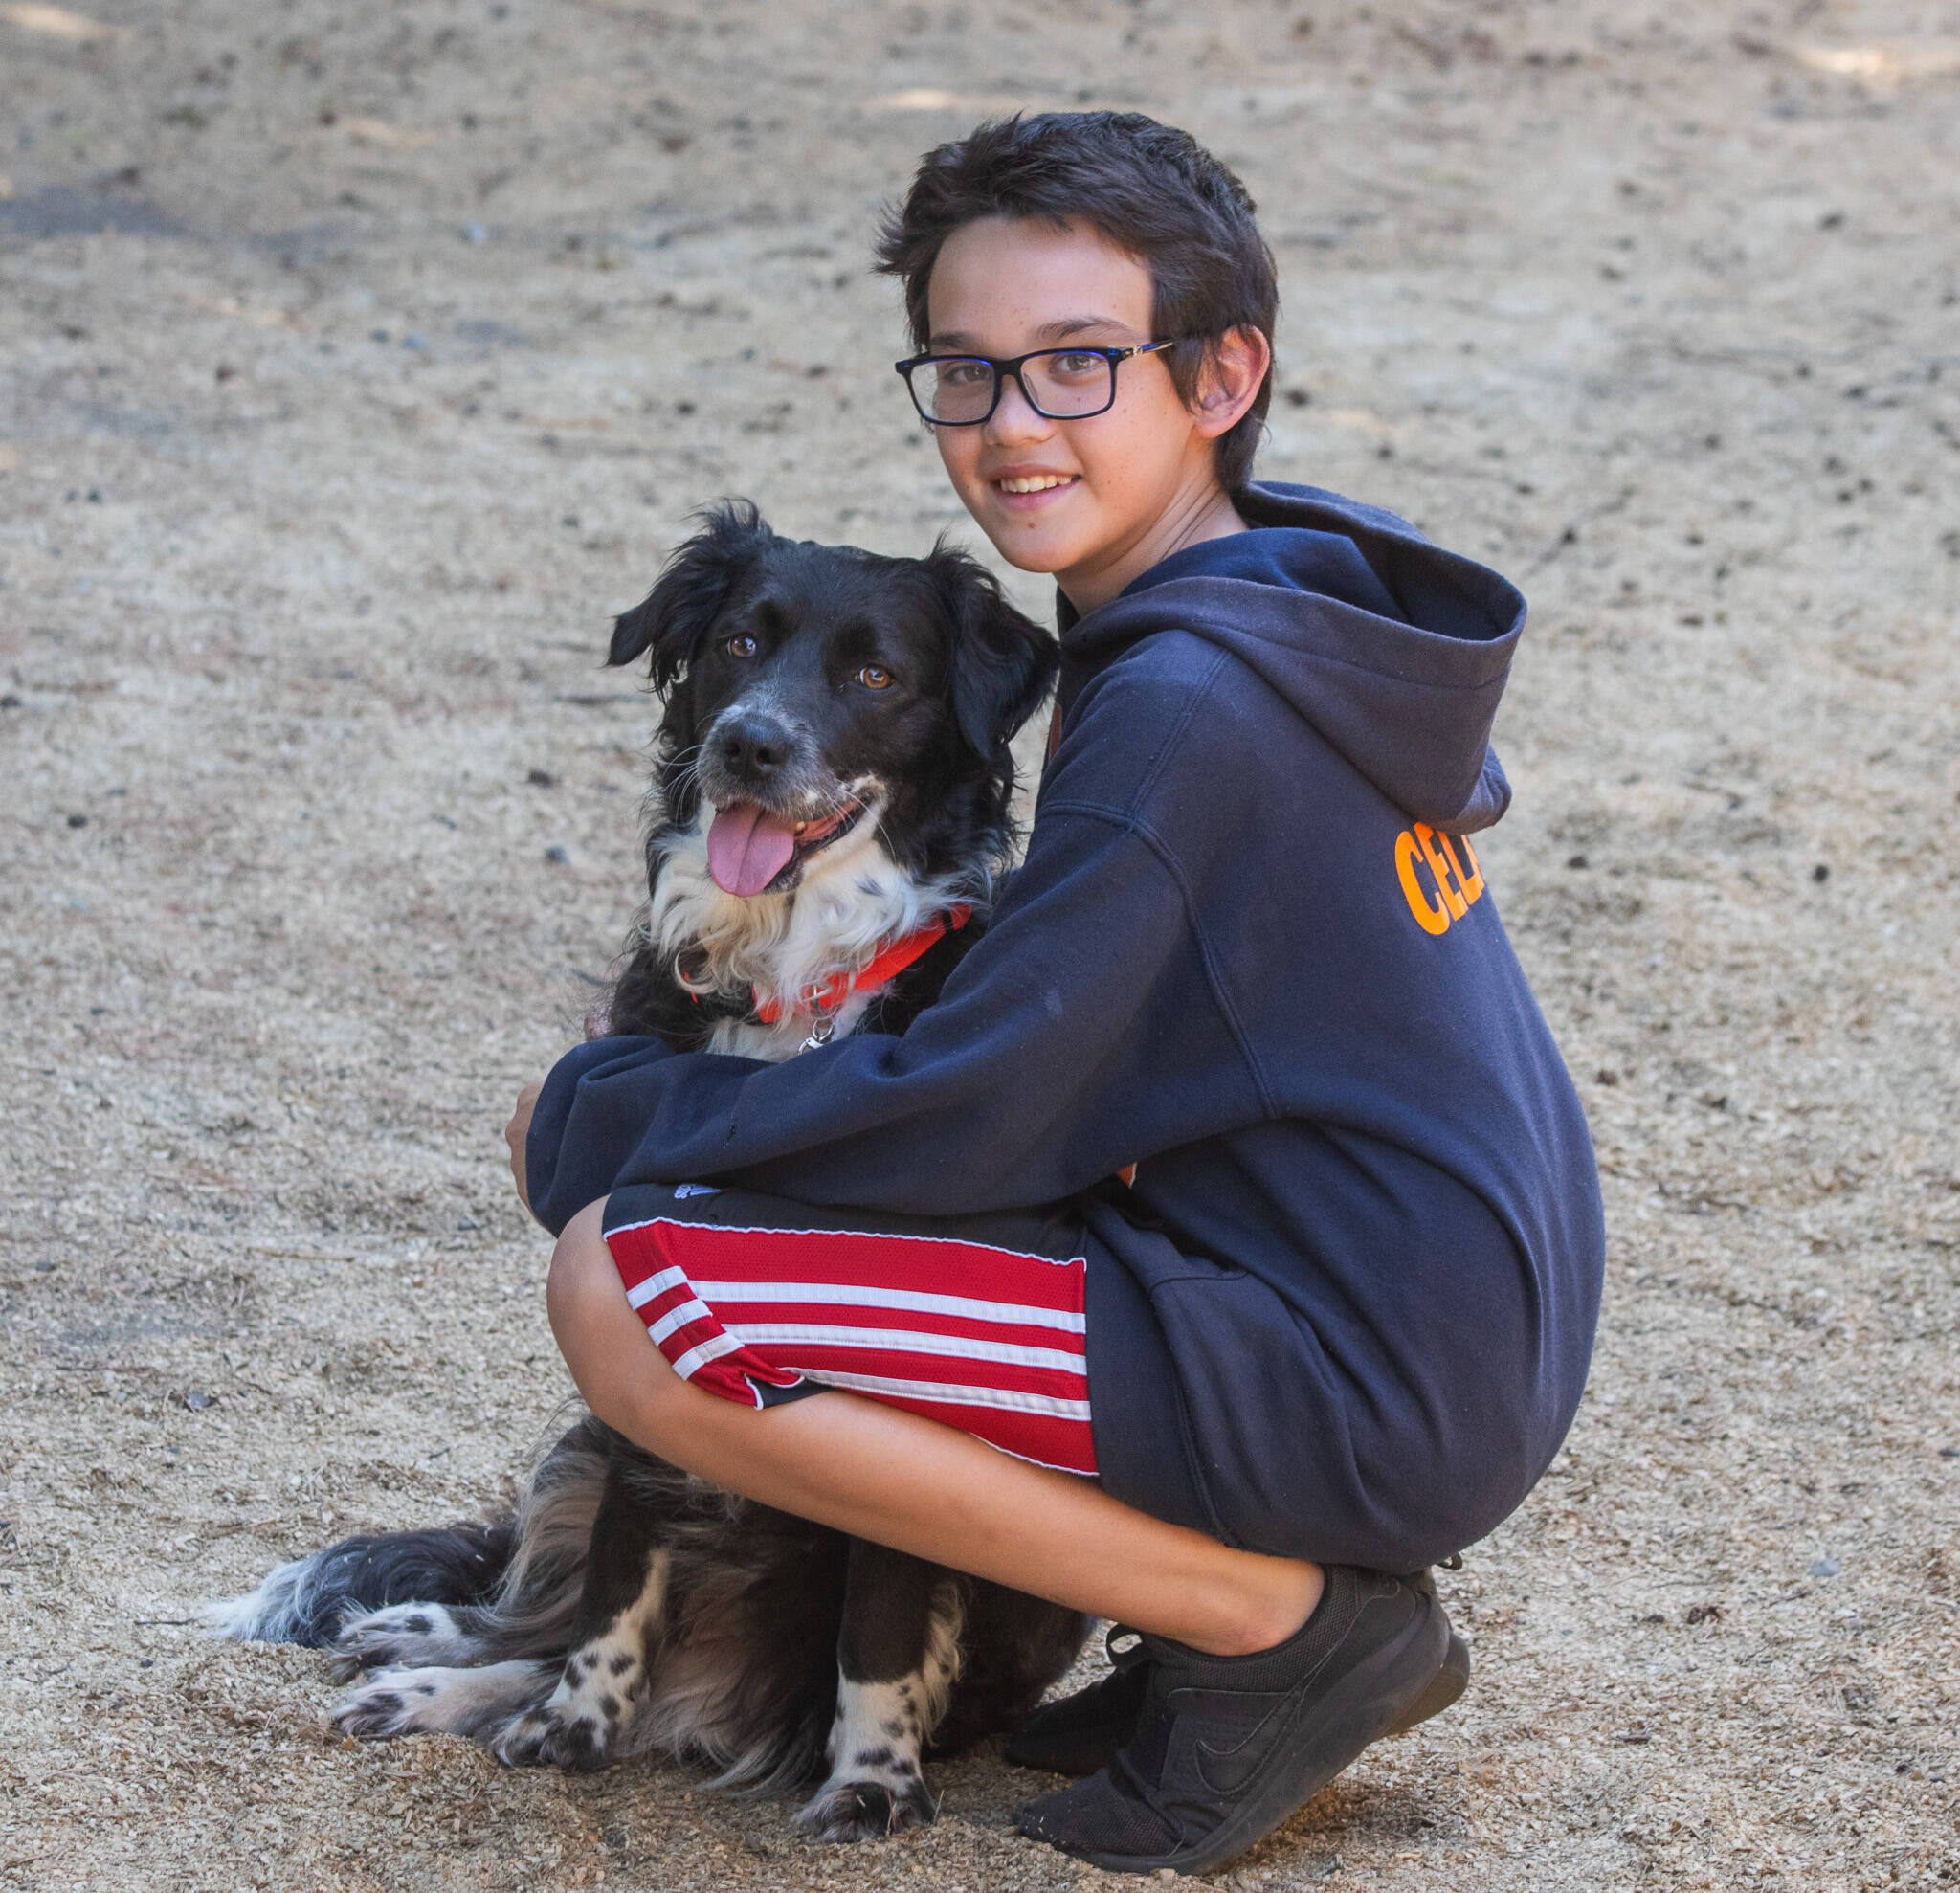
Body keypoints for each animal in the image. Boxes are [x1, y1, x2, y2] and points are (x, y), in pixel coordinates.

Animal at [214, 509, 1089, 1841]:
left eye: (874, 672)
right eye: (739, 643)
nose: (747, 744)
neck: (792, 985)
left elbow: (884, 1624)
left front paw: (872, 1782)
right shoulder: (624, 1314)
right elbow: (616, 1587)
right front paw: (571, 1725)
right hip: (573, 1439)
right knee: (536, 1609)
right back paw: (424, 1654)